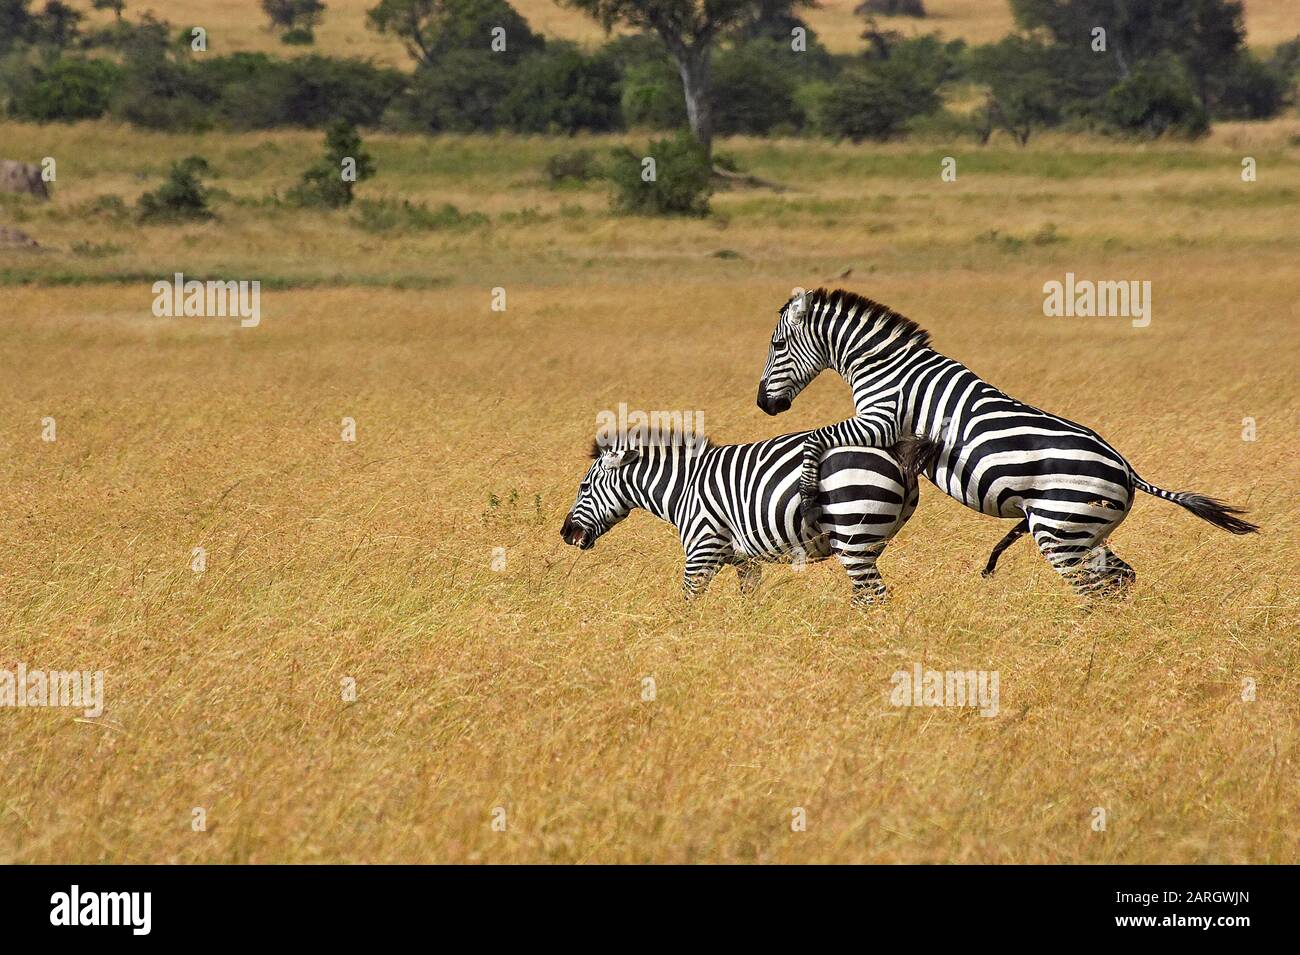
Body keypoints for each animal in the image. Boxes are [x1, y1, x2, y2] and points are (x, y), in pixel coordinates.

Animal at [561, 431, 946, 608]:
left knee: (876, 595)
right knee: (865, 594)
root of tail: (895, 454)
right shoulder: (745, 562)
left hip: (854, 534)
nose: (565, 533)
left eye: (583, 486)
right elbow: (748, 602)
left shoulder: (702, 550)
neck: (684, 487)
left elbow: (688, 601)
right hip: (870, 542)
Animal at [754, 287, 1258, 595]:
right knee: (1119, 579)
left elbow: (815, 436)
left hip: (1061, 530)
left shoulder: (880, 419)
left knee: (1092, 590)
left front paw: (805, 488)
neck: (885, 365)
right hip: (1087, 531)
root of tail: (1128, 471)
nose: (763, 404)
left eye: (777, 347)